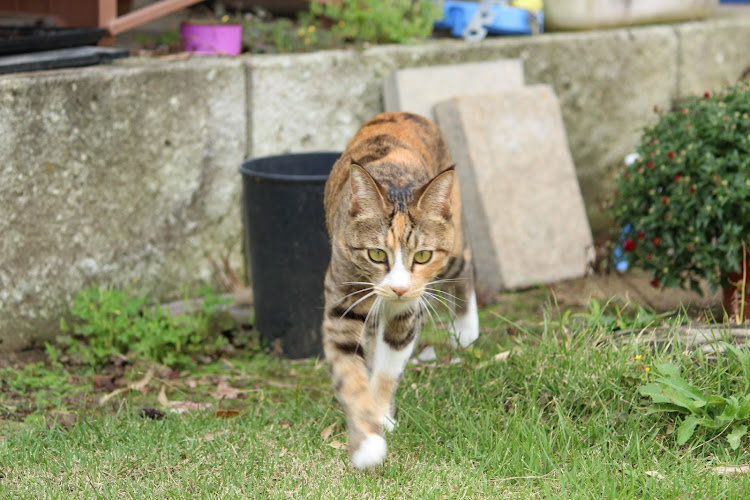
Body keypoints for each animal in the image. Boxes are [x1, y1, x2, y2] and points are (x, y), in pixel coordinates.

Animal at [324, 112, 482, 468]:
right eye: (376, 254)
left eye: (422, 256)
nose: (397, 288)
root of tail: (406, 114)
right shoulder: (343, 296)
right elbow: (351, 372)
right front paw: (368, 442)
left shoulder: (409, 304)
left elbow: (388, 366)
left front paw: (381, 416)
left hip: (452, 245)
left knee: (464, 264)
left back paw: (467, 331)